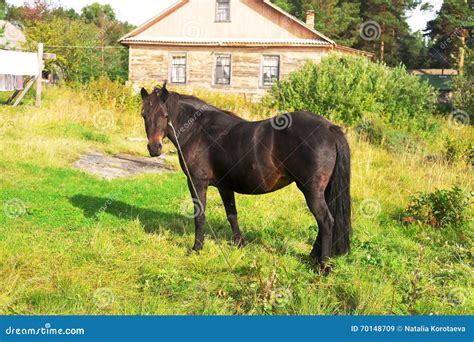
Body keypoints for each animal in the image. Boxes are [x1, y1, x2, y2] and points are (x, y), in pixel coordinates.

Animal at [139, 82, 350, 270]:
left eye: (164, 115)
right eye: (144, 115)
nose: (154, 148)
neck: (198, 130)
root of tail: (330, 128)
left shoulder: (197, 183)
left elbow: (199, 216)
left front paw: (196, 248)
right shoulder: (224, 186)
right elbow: (232, 215)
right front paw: (239, 244)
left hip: (311, 190)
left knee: (325, 221)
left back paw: (323, 265)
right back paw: (314, 256)